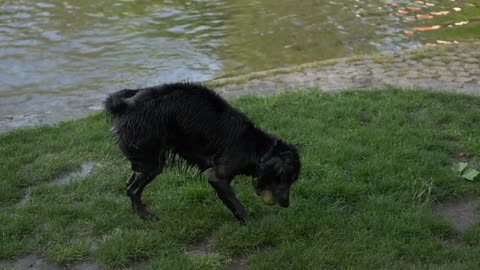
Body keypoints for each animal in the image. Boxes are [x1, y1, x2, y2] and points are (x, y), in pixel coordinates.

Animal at [104, 83, 300, 224]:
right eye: (285, 178)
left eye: (292, 180)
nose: (287, 204)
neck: (254, 147)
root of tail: (123, 105)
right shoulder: (218, 177)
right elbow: (236, 204)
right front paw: (249, 222)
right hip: (151, 162)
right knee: (133, 190)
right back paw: (145, 216)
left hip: (145, 160)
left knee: (129, 185)